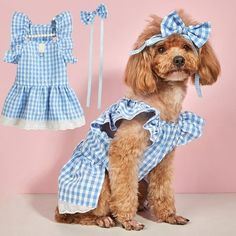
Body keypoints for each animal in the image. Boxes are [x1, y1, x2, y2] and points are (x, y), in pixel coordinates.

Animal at [54, 10, 220, 230]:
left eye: (186, 46)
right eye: (161, 49)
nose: (178, 60)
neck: (163, 103)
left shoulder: (164, 158)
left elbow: (163, 189)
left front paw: (169, 215)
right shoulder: (124, 152)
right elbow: (124, 190)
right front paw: (127, 220)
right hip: (99, 181)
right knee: (75, 215)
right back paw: (102, 218)